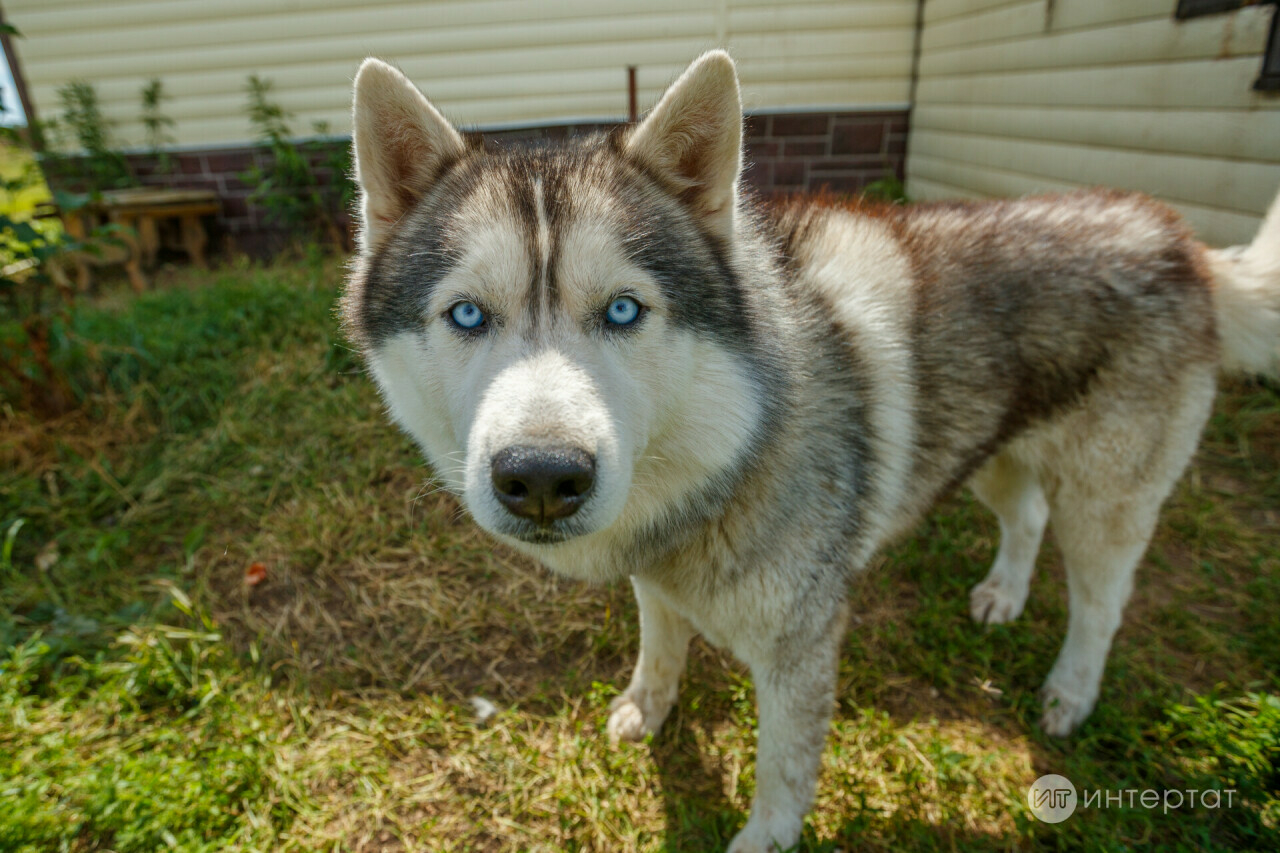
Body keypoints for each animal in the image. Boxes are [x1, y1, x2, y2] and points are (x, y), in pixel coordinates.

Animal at [345, 53, 1280, 850]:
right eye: (468, 314)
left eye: (622, 310)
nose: (543, 478)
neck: (736, 446)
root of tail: (1180, 236)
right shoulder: (657, 575)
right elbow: (660, 645)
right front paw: (648, 708)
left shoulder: (801, 649)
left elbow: (782, 772)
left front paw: (762, 837)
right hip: (990, 451)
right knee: (1025, 512)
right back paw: (1004, 594)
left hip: (1105, 504)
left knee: (1100, 601)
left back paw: (1070, 691)